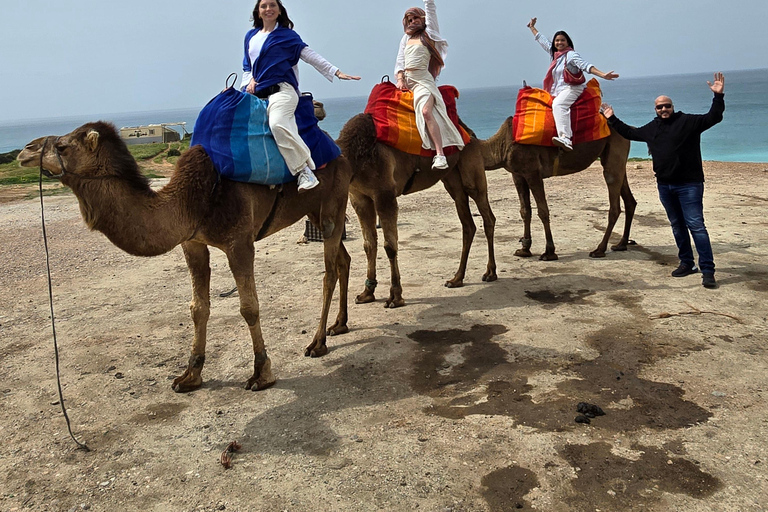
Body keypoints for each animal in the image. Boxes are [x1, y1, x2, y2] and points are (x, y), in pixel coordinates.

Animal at [18, 122, 352, 394]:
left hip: (333, 203)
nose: (26, 150)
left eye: (63, 146)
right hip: (313, 209)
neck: (192, 199)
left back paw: (318, 343)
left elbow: (249, 307)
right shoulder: (192, 242)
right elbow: (198, 308)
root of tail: (338, 152)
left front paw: (261, 373)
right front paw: (190, 375)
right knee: (343, 261)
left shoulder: (240, 242)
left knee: (329, 271)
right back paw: (340, 325)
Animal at [338, 114, 498, 308]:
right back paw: (456, 279)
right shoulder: (359, 197)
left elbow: (390, 246)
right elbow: (369, 245)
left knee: (487, 216)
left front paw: (395, 296)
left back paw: (490, 273)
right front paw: (367, 293)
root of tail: (470, 134)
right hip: (452, 179)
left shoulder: (385, 195)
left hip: (472, 169)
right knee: (468, 223)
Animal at [474, 119, 636, 260]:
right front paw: (524, 249)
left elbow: (543, 211)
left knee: (614, 202)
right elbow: (525, 211)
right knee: (629, 200)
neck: (500, 145)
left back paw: (599, 250)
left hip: (614, 151)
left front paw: (549, 252)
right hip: (615, 157)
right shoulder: (517, 174)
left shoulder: (533, 172)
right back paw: (621, 244)